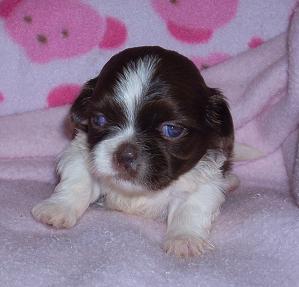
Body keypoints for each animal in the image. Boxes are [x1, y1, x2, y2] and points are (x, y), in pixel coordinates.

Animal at [32, 46, 239, 258]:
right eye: (99, 120)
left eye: (172, 129)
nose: (125, 155)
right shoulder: (80, 154)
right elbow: (77, 182)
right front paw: (57, 209)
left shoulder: (203, 182)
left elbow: (191, 208)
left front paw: (184, 240)